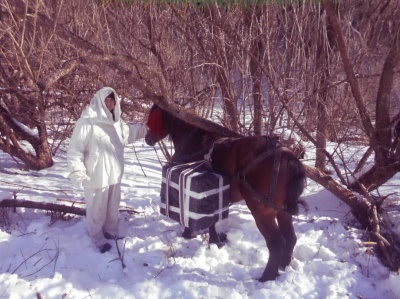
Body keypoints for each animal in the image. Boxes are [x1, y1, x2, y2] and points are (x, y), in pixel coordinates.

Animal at [145, 104, 304, 282]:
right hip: (282, 211)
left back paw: (266, 277)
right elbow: (212, 221)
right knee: (291, 238)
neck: (193, 142)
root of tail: (288, 158)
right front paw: (214, 241)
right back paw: (283, 265)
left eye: (152, 118)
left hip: (262, 211)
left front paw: (188, 234)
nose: (147, 138)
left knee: (276, 243)